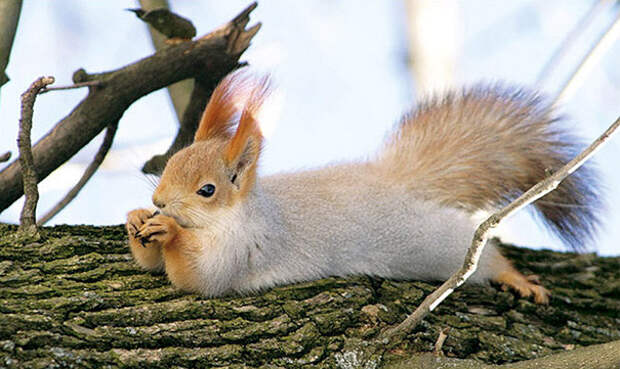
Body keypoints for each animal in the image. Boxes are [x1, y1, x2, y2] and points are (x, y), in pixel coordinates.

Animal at [126, 70, 600, 304]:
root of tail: (401, 184)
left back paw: (515, 278)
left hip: (445, 247)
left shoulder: (248, 246)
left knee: (487, 259)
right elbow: (153, 265)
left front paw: (168, 231)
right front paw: (137, 219)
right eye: (170, 164)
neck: (241, 211)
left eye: (207, 190)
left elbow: (200, 276)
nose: (158, 200)